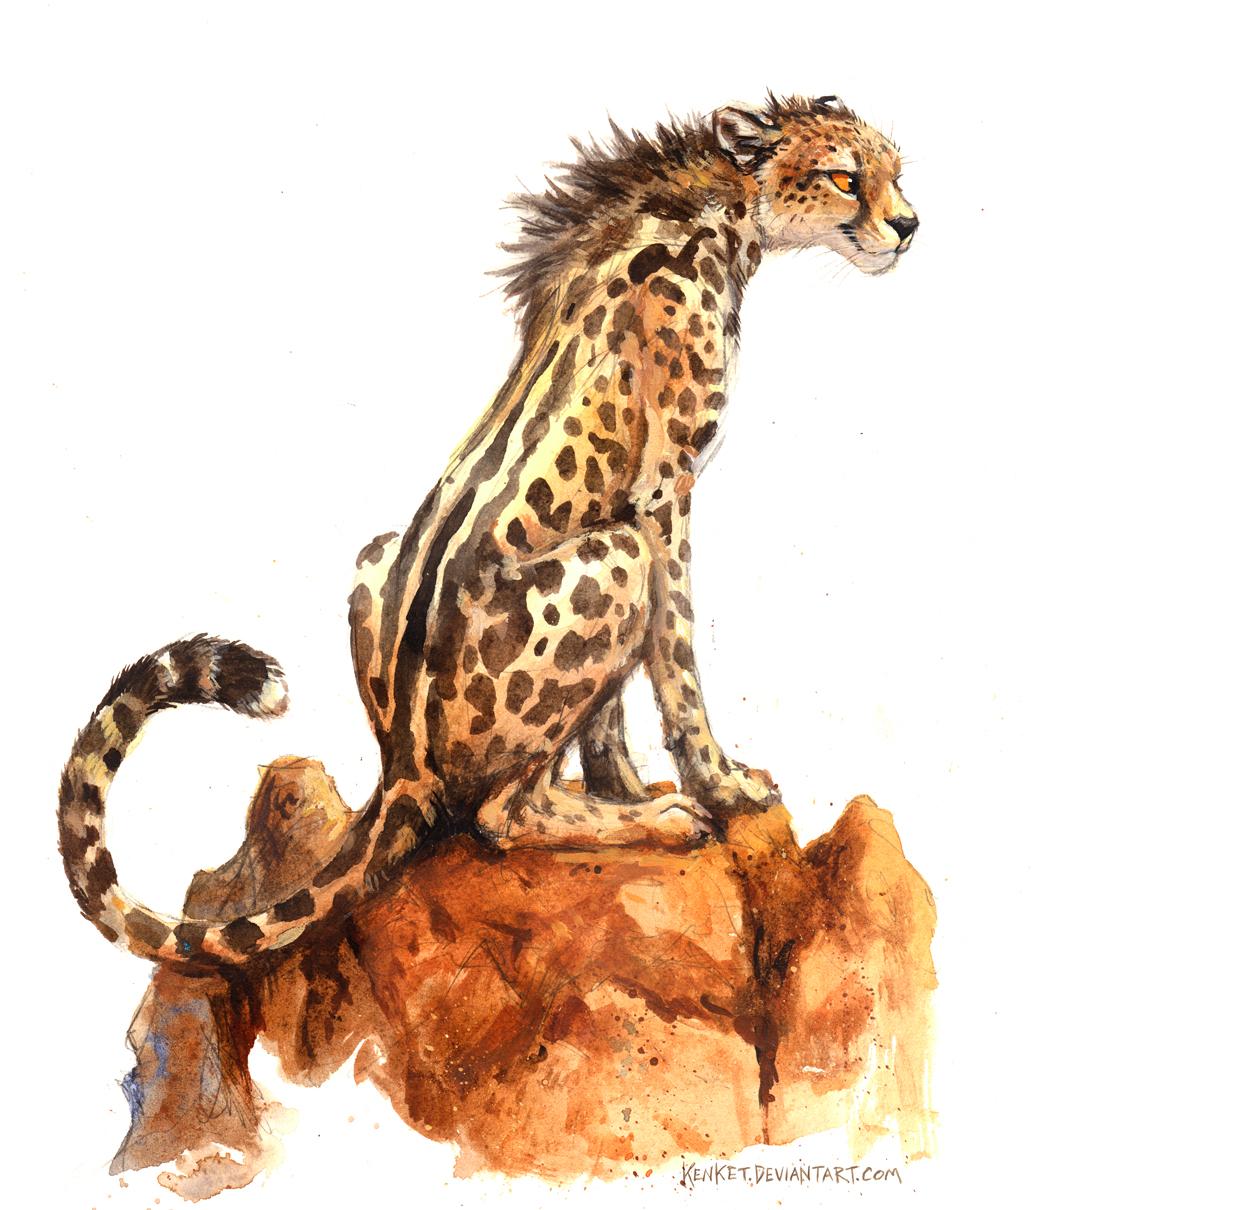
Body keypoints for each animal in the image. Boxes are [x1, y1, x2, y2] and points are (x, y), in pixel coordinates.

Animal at [58, 93, 918, 966]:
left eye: (896, 172)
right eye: (846, 177)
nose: (909, 224)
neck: (713, 213)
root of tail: (404, 764)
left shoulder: (634, 507)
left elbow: (608, 713)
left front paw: (622, 786)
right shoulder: (658, 500)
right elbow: (675, 660)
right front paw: (716, 786)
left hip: (379, 557)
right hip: (615, 560)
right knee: (500, 813)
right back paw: (660, 821)